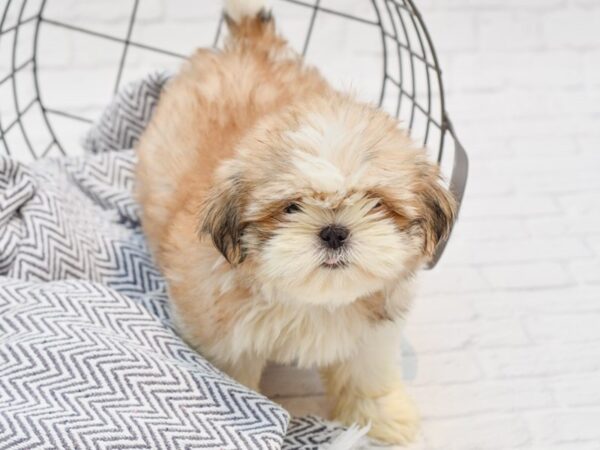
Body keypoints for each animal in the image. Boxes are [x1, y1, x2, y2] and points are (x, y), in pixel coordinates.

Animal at [136, 0, 454, 442]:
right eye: (291, 208)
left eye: (374, 203)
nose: (334, 232)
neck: (312, 302)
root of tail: (250, 44)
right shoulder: (224, 336)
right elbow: (234, 382)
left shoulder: (372, 331)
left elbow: (366, 373)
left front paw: (379, 417)